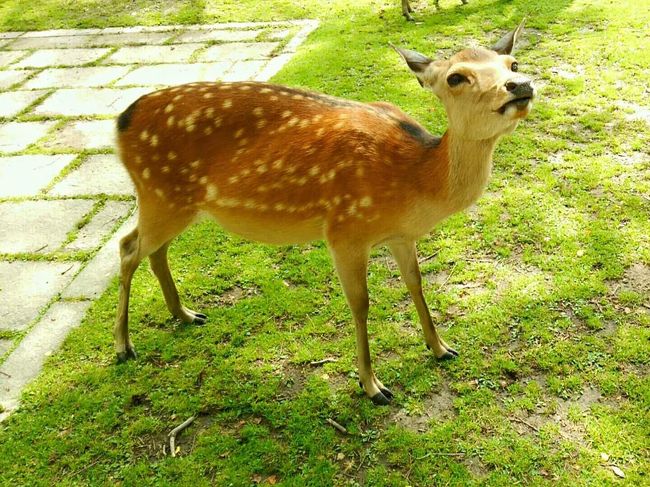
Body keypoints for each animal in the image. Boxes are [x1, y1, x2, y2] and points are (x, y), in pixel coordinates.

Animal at [113, 20, 534, 405]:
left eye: (512, 63)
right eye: (456, 77)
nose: (521, 84)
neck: (415, 178)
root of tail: (121, 121)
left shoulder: (400, 235)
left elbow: (415, 283)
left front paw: (441, 347)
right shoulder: (345, 231)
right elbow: (360, 303)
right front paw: (372, 385)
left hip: (177, 203)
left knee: (155, 250)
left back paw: (185, 314)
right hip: (159, 194)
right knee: (128, 247)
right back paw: (123, 345)